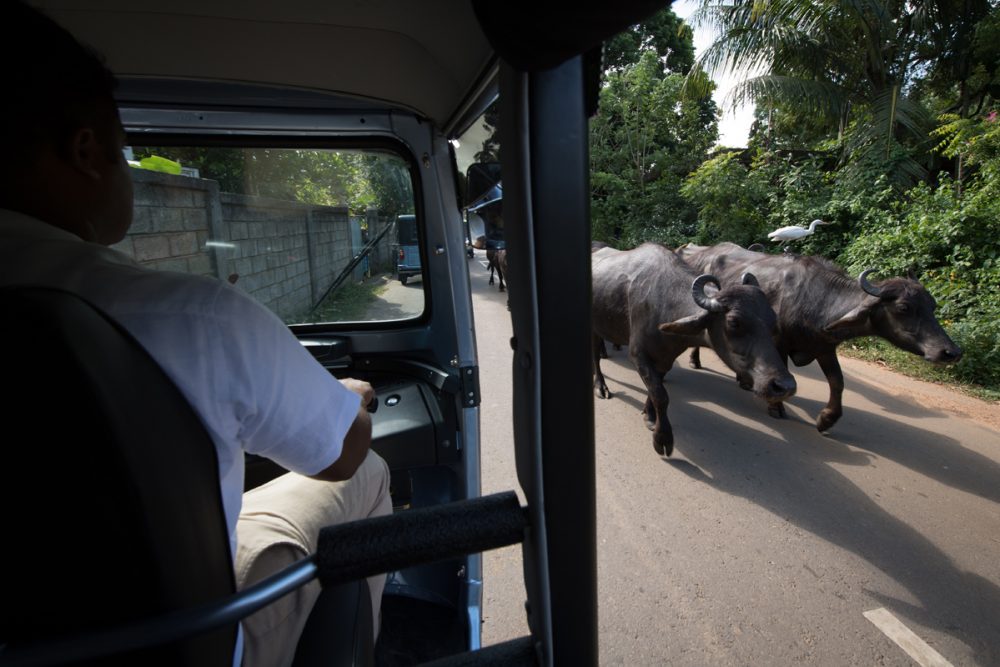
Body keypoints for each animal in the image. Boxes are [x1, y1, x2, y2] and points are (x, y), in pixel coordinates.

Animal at [592, 245, 796, 460]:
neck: (664, 302)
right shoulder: (638, 356)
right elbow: (661, 395)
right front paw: (662, 438)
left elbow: (654, 391)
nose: (784, 386)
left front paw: (649, 415)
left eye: (772, 321)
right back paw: (601, 386)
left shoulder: (665, 358)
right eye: (733, 322)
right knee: (596, 357)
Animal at [676, 241, 964, 434]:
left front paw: (827, 419)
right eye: (904, 307)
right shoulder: (779, 343)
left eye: (932, 305)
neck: (815, 299)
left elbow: (837, 381)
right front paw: (776, 407)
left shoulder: (824, 346)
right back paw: (695, 360)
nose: (950, 352)